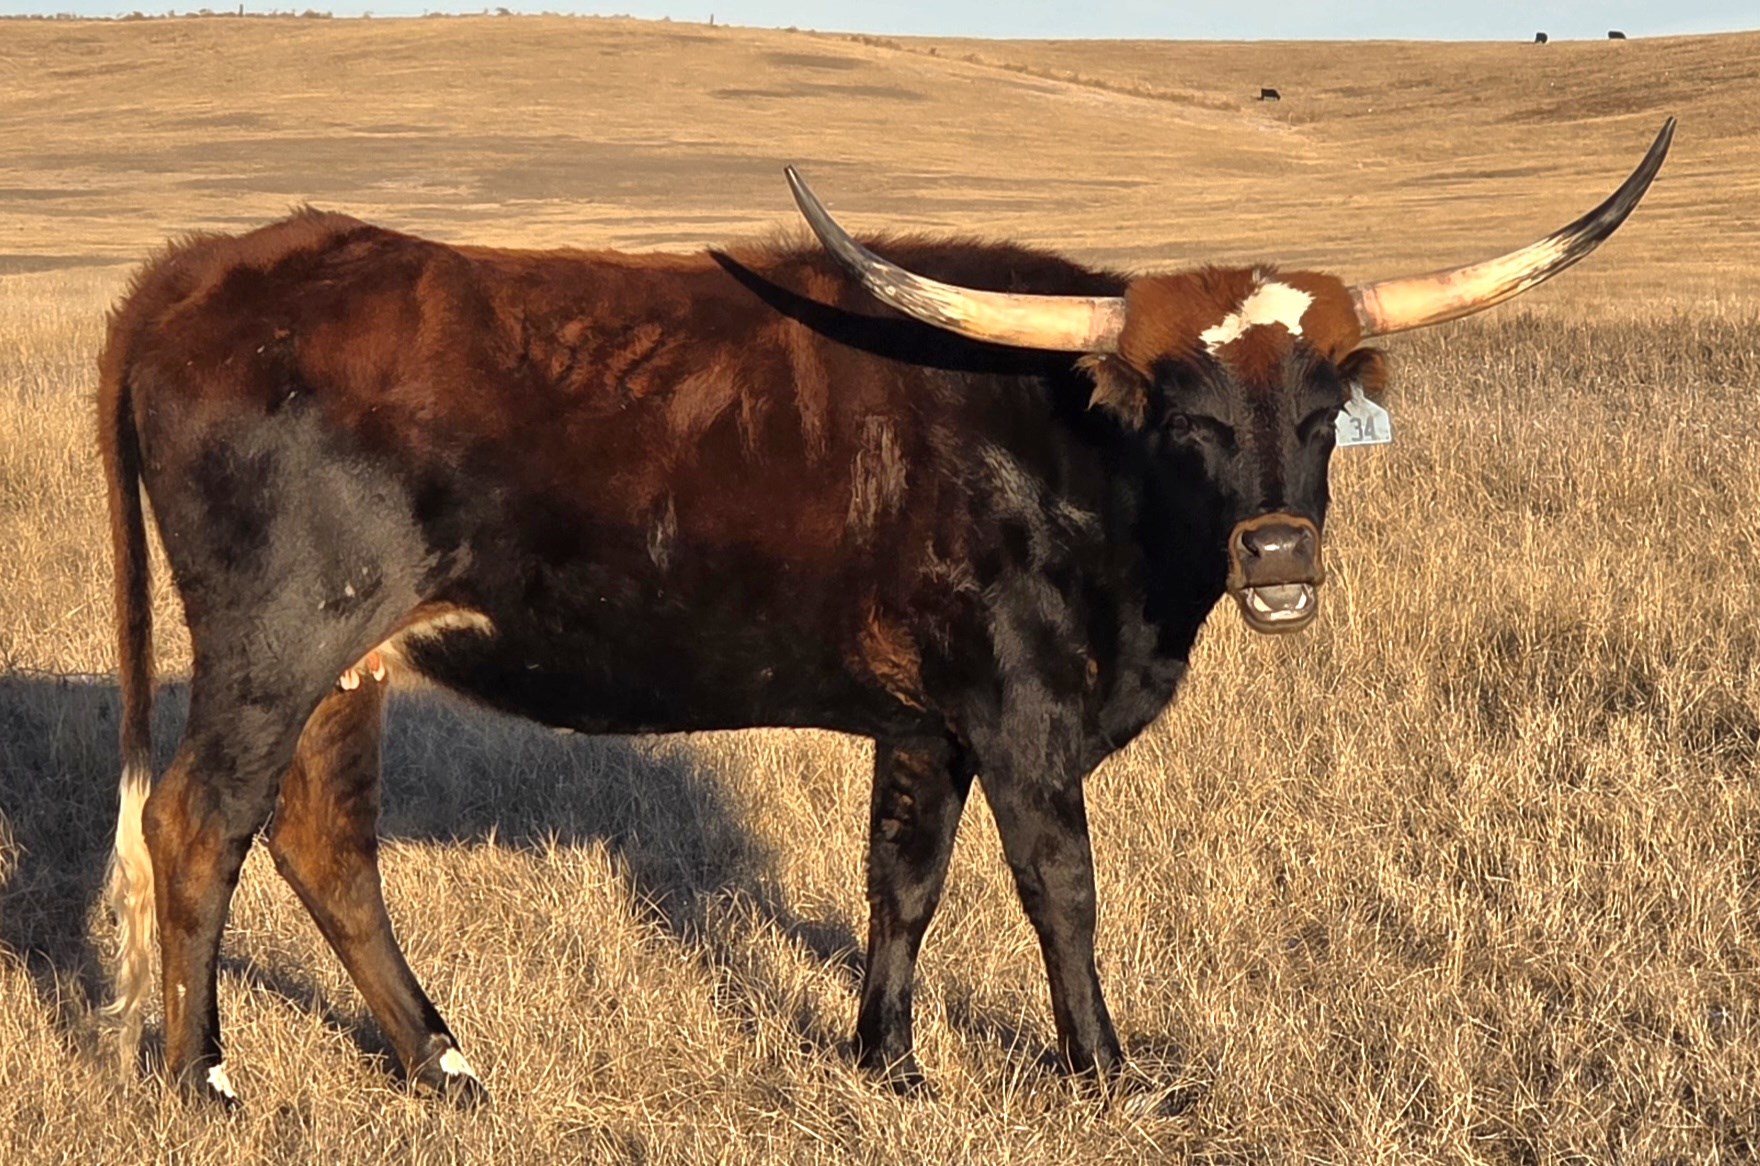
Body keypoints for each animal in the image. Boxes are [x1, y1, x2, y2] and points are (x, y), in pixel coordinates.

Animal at [100, 120, 1673, 1106]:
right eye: (1186, 411)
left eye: (1322, 403)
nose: (1278, 548)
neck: (1068, 450)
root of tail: (199, 265)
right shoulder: (1024, 714)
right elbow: (1061, 887)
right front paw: (1106, 1072)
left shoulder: (928, 721)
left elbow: (902, 879)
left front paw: (890, 1062)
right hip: (277, 640)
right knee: (199, 820)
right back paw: (203, 1078)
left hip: (349, 660)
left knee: (323, 841)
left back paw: (443, 1064)